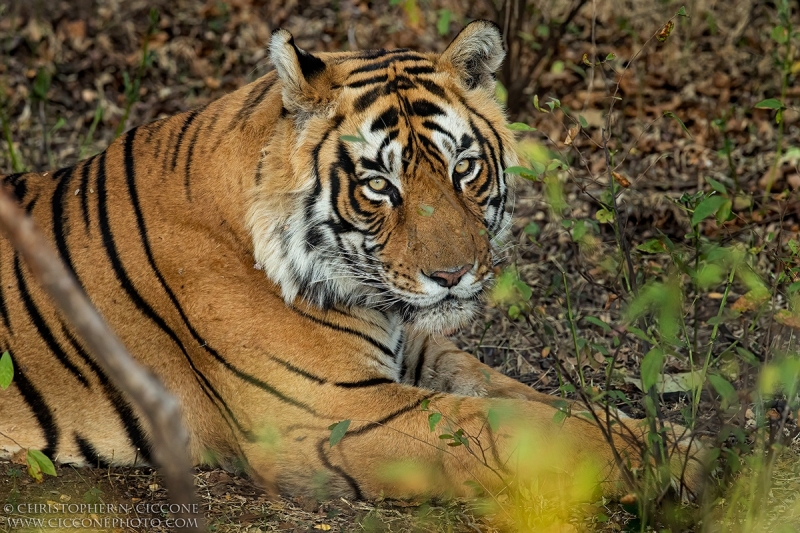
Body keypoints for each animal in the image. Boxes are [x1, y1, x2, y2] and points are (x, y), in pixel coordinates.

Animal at [0, 20, 704, 500]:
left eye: (464, 168)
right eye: (378, 185)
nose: (452, 277)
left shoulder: (415, 349)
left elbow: (528, 397)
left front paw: (676, 443)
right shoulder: (330, 412)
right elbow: (512, 427)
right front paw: (688, 466)